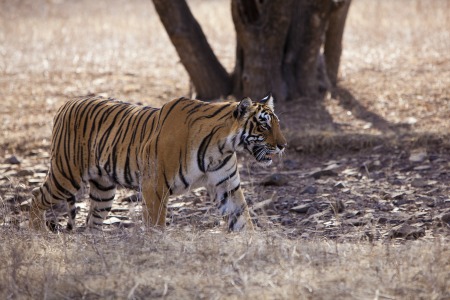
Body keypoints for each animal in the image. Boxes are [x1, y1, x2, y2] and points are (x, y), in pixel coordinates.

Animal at [29, 94, 286, 232]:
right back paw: (38, 233)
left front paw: (255, 248)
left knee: (92, 220)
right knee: (36, 195)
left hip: (103, 190)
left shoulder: (227, 186)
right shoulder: (155, 186)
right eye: (263, 126)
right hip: (66, 175)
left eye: (277, 123)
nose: (283, 145)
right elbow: (156, 224)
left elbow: (242, 219)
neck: (222, 147)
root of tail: (67, 102)